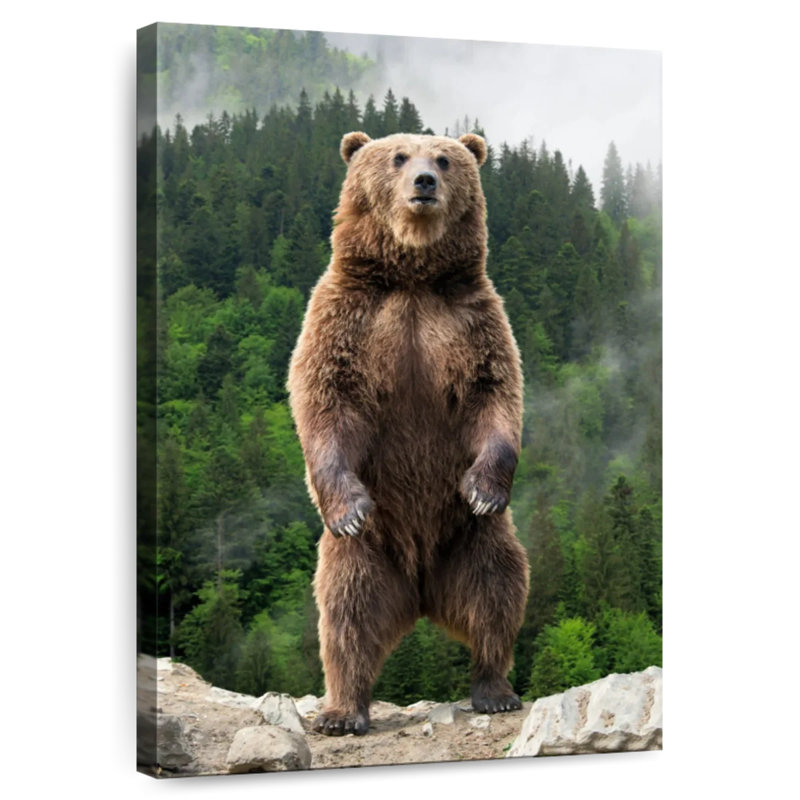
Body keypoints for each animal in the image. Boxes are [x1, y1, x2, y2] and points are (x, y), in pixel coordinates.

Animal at [287, 131, 529, 736]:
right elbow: (326, 398)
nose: (424, 182)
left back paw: (494, 689)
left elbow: (495, 394)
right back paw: (342, 711)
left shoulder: (471, 320)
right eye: (398, 156)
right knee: (346, 615)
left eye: (444, 158)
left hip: (471, 539)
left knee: (497, 591)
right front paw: (348, 506)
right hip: (367, 554)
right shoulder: (348, 318)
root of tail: (420, 591)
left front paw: (484, 487)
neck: (412, 277)